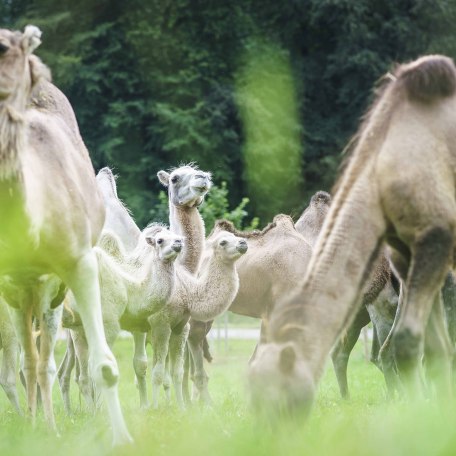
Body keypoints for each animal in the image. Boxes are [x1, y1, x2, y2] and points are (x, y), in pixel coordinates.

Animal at [0, 26, 132, 444]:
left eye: (5, 48)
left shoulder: (78, 264)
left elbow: (103, 364)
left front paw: (121, 439)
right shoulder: (8, 281)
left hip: (51, 296)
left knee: (43, 362)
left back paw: (49, 424)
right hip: (20, 297)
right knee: (29, 362)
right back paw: (33, 422)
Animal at [148, 230, 248, 408]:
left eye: (235, 235)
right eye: (223, 242)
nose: (243, 243)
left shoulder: (181, 329)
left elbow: (179, 371)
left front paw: (185, 406)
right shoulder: (174, 329)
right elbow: (193, 373)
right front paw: (206, 405)